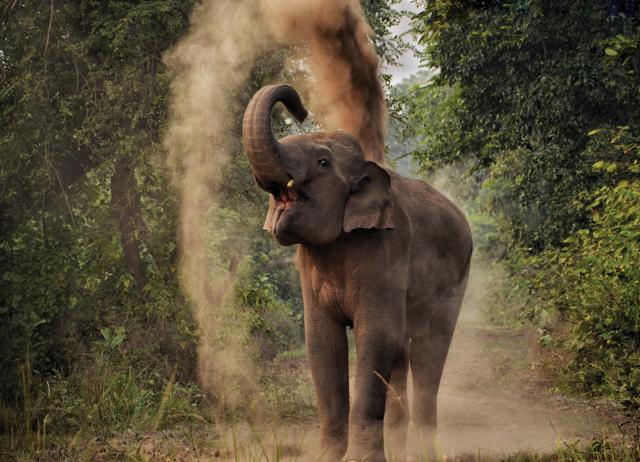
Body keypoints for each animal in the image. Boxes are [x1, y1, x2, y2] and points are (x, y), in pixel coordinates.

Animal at [242, 84, 472, 461]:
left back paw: (424, 452)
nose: (301, 109)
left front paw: (362, 459)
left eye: (323, 162)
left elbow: (376, 337)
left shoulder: (386, 250)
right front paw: (325, 457)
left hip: (456, 278)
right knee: (403, 352)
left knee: (429, 350)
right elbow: (323, 343)